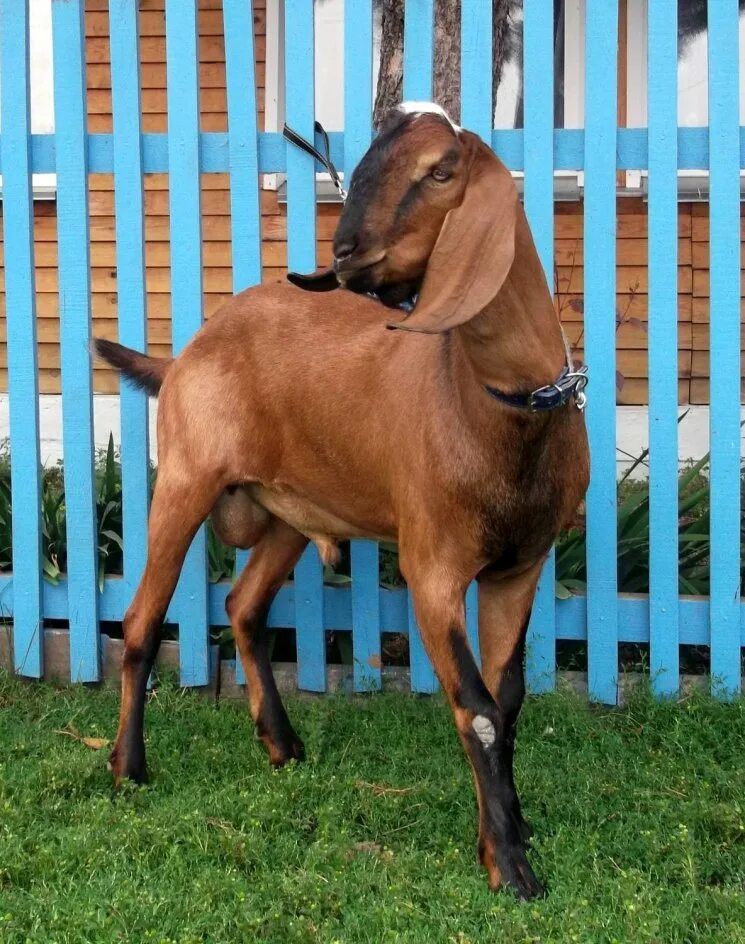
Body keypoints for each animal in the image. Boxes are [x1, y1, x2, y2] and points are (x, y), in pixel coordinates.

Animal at [96, 105, 588, 900]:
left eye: (439, 170)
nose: (344, 251)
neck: (500, 409)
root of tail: (187, 351)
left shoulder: (521, 566)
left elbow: (506, 702)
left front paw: (504, 834)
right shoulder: (433, 567)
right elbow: (477, 709)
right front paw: (512, 867)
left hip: (289, 513)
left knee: (243, 606)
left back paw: (281, 744)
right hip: (185, 480)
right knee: (141, 621)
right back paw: (128, 768)